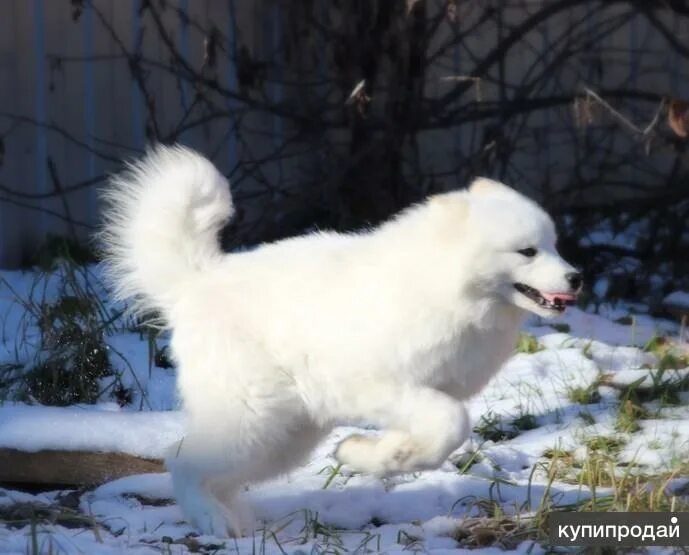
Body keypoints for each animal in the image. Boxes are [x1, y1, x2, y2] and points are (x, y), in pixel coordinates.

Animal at [99, 146, 580, 536]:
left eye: (555, 245)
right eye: (527, 252)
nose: (577, 278)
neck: (445, 287)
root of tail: (194, 283)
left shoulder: (418, 395)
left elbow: (433, 436)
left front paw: (371, 454)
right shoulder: (384, 388)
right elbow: (452, 423)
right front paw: (375, 453)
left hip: (283, 437)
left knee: (215, 475)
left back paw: (236, 519)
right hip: (252, 423)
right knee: (180, 460)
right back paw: (211, 520)